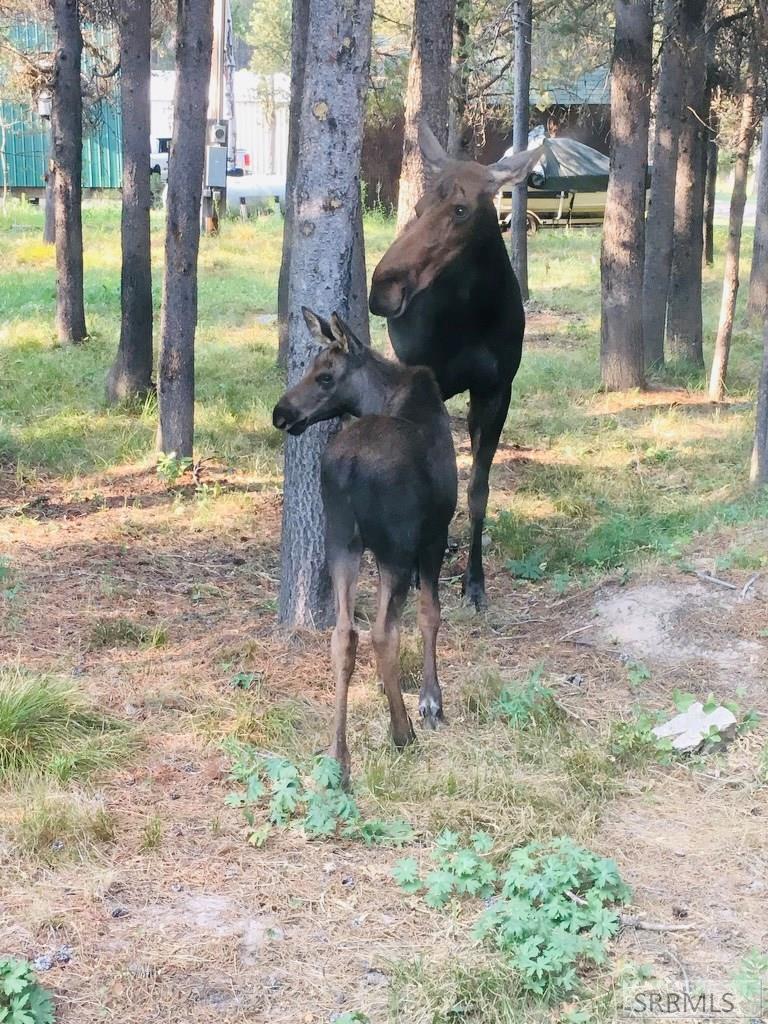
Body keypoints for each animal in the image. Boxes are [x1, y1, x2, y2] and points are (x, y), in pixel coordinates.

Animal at [370, 125, 540, 606]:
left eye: (461, 209)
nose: (383, 289)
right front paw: (415, 573)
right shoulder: (430, 384)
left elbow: (478, 490)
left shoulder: (496, 390)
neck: (475, 314)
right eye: (418, 207)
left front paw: (474, 582)